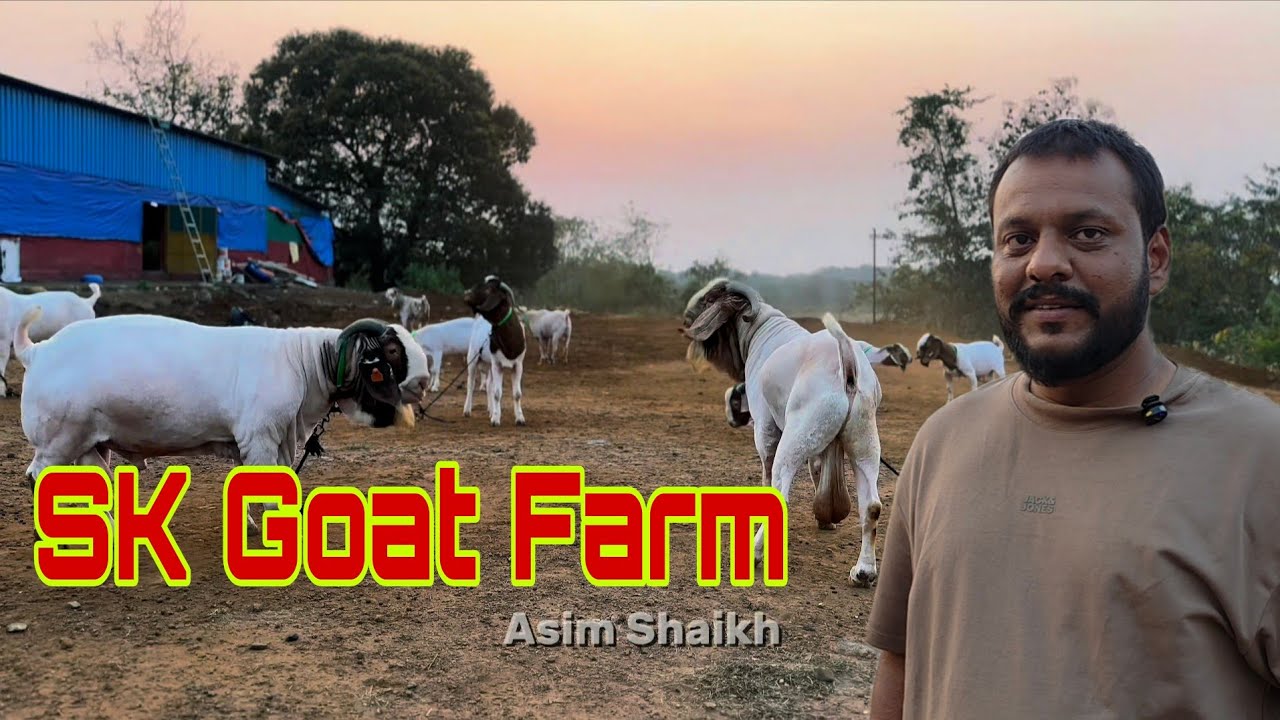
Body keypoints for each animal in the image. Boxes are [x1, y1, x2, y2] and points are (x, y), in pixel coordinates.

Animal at [14, 310, 431, 532]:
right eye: (392, 350)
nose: (425, 381)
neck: (304, 362)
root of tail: (37, 351)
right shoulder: (260, 437)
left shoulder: (266, 439)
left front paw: (249, 526)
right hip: (57, 440)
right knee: (36, 477)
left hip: (90, 443)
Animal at [462, 275, 527, 427]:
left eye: (488, 289)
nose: (466, 293)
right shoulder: (497, 364)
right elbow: (497, 393)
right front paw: (496, 419)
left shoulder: (518, 365)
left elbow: (517, 394)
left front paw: (520, 418)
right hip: (472, 358)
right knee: (471, 384)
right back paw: (467, 410)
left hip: (489, 365)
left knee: (489, 386)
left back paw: (491, 410)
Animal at [681, 278, 884, 587]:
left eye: (709, 299)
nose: (685, 319)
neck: (760, 330)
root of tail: (847, 365)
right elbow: (817, 470)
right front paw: (826, 520)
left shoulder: (765, 427)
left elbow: (766, 471)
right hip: (864, 440)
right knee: (872, 505)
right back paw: (863, 572)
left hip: (796, 436)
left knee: (781, 491)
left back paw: (754, 554)